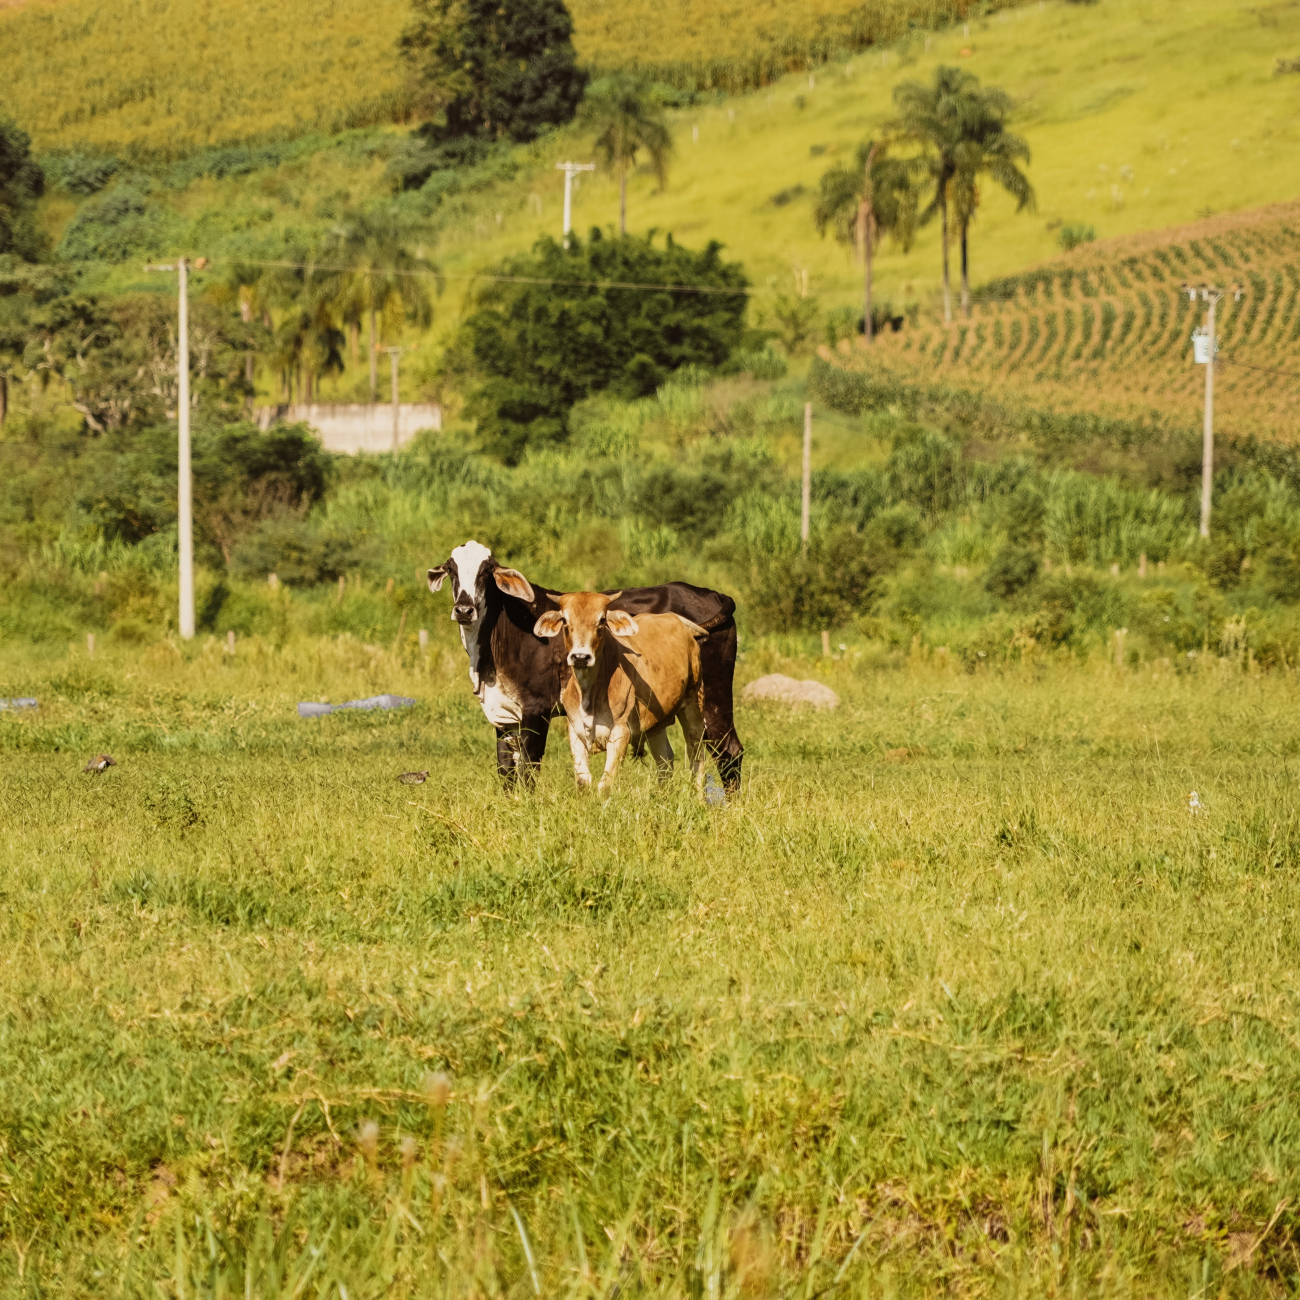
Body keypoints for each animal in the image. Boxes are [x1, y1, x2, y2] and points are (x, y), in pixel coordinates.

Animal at [534, 591, 708, 795]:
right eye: (564, 620)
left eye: (602, 620)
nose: (580, 657)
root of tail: (671, 617)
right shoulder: (575, 731)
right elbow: (583, 781)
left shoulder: (620, 733)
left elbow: (605, 784)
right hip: (657, 723)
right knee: (665, 760)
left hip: (694, 702)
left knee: (696, 753)